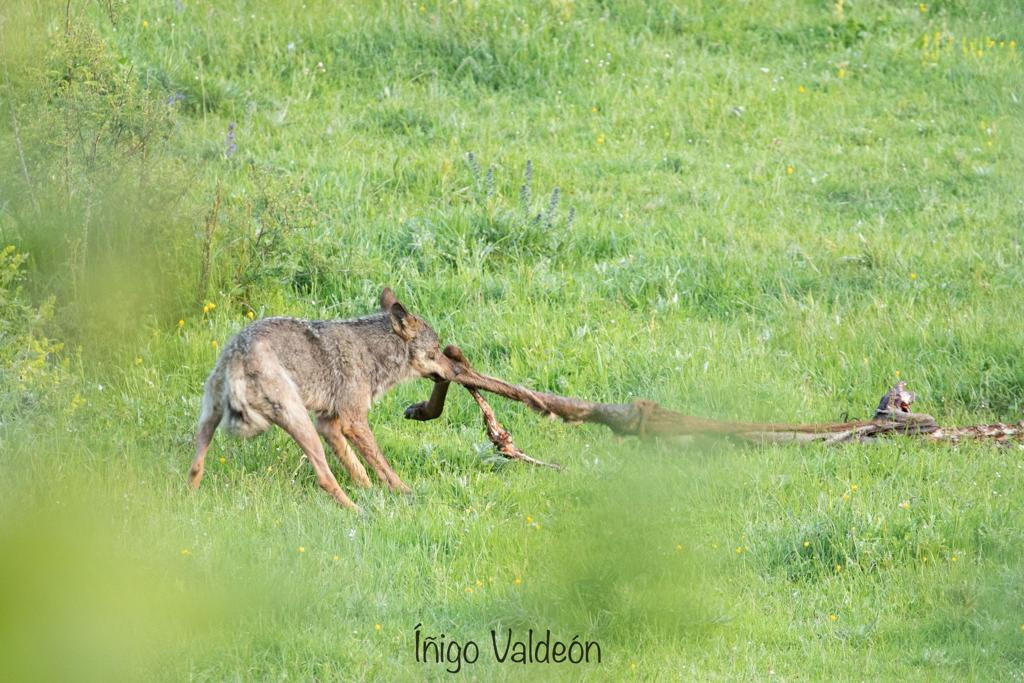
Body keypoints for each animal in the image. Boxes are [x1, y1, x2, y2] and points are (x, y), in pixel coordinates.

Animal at [185, 286, 456, 509]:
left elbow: (357, 467)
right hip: (302, 424)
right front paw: (405, 493)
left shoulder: (328, 423)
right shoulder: (353, 422)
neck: (371, 353)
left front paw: (369, 492)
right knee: (325, 478)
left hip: (210, 419)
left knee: (195, 468)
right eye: (435, 350)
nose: (455, 370)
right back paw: (358, 512)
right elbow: (382, 466)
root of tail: (240, 353)